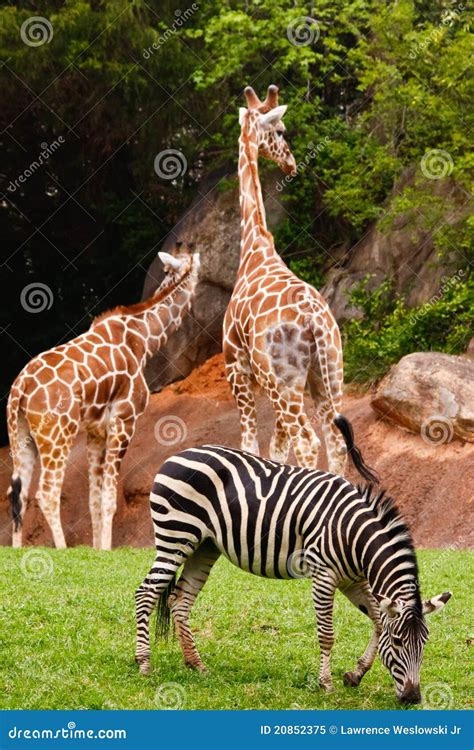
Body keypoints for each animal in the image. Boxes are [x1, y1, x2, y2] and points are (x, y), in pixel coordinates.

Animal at [7, 244, 200, 550]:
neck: (143, 339)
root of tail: (19, 388)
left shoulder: (95, 431)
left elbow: (93, 499)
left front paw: (99, 550)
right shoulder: (124, 420)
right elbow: (109, 497)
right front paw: (107, 548)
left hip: (21, 434)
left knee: (19, 494)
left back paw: (16, 550)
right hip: (56, 434)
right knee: (46, 493)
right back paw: (61, 550)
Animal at [135, 445, 451, 704]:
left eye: (424, 643)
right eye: (398, 643)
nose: (412, 699)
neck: (354, 536)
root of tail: (177, 454)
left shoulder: (354, 582)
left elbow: (377, 621)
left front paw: (355, 674)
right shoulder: (324, 575)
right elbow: (327, 634)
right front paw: (326, 684)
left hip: (204, 546)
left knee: (180, 601)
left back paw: (196, 664)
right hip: (176, 536)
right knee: (146, 593)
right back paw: (144, 663)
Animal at [223, 85, 377, 481]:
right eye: (280, 132)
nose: (290, 163)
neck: (255, 245)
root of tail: (313, 320)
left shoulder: (236, 369)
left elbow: (251, 447)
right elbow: (275, 452)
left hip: (286, 384)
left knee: (308, 441)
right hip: (330, 373)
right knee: (335, 439)